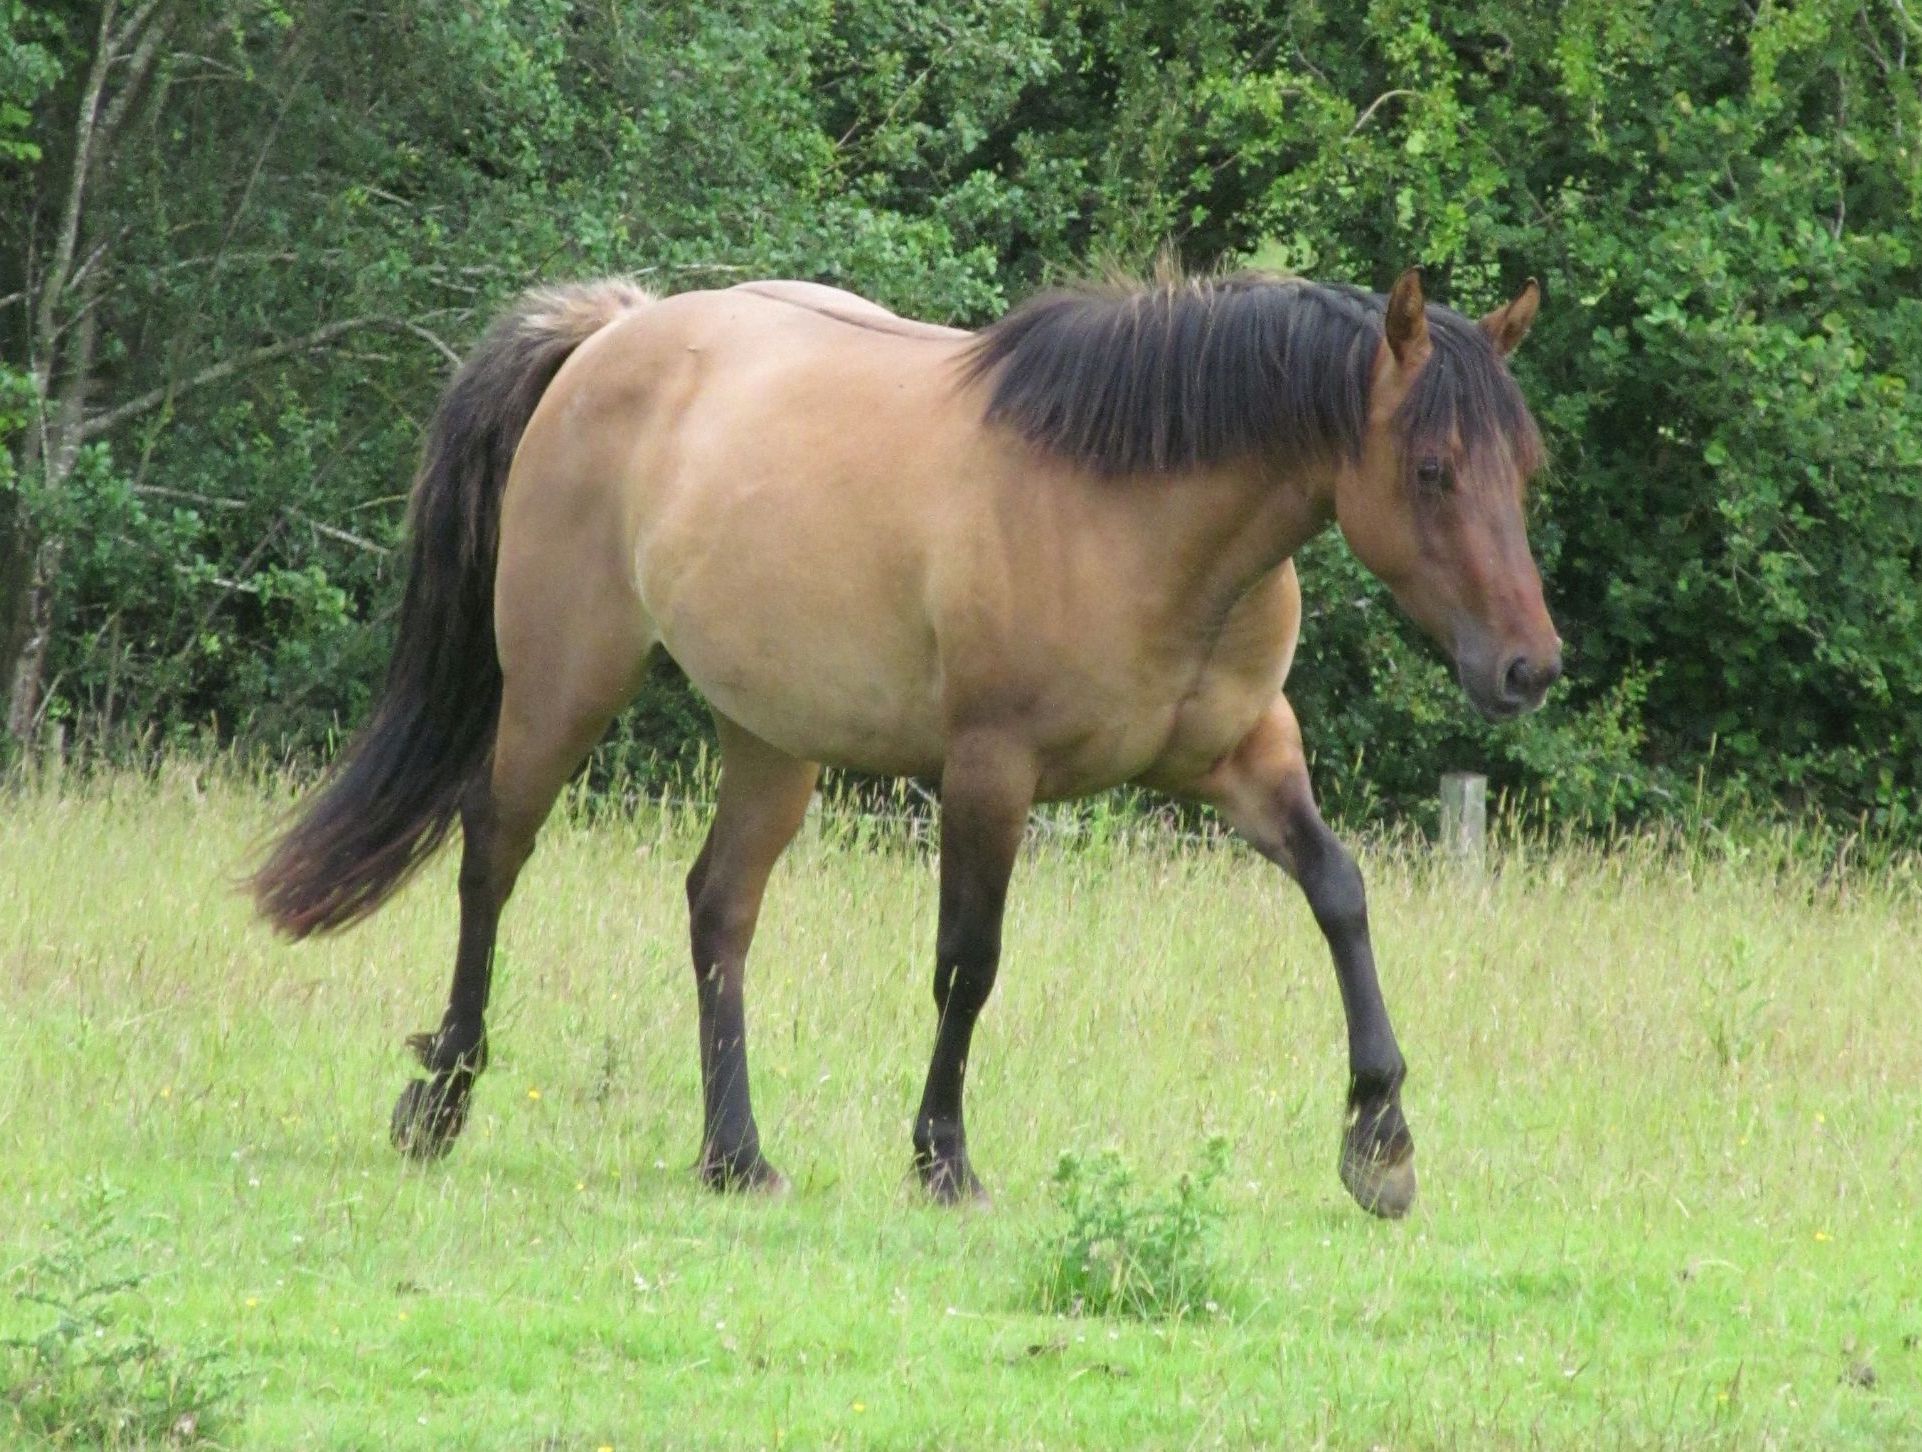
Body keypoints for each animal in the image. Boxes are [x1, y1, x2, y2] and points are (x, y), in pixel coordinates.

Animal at [251, 267, 1560, 1223]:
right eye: (1431, 468)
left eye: (1522, 468)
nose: (1526, 667)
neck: (1134, 515)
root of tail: (613, 333)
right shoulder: (989, 775)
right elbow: (966, 965)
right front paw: (943, 1158)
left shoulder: (1245, 759)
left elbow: (1340, 894)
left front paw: (1378, 1141)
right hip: (564, 682)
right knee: (493, 853)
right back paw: (441, 1101)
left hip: (769, 736)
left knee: (719, 908)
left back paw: (735, 1155)